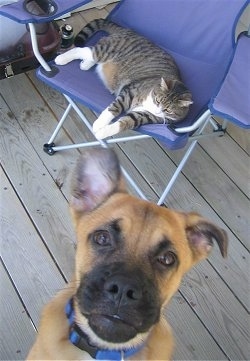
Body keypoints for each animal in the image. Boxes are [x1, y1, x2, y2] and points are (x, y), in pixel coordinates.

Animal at [54, 17, 192, 139]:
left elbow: (125, 123)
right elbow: (114, 108)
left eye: (168, 110)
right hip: (105, 50)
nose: (157, 110)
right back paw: (61, 59)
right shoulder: (129, 92)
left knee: (92, 57)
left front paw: (102, 132)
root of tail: (128, 31)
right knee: (84, 50)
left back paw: (85, 64)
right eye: (157, 101)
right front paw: (99, 124)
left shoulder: (144, 116)